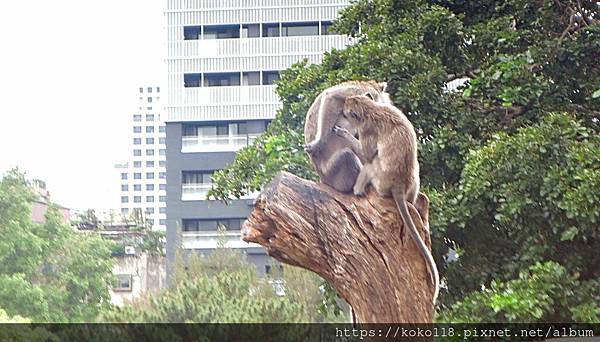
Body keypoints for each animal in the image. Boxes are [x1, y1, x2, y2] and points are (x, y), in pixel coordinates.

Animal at [336, 95, 438, 304]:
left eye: (347, 111)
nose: (341, 110)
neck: (371, 109)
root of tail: (398, 187)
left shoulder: (367, 129)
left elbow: (366, 154)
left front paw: (344, 133)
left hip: (380, 180)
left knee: (371, 162)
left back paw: (357, 190)